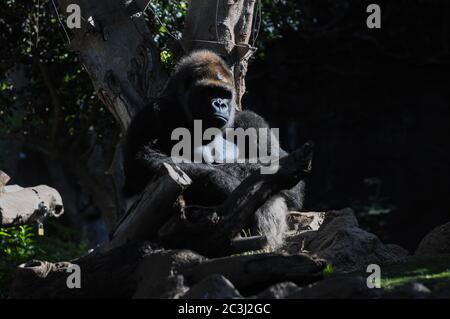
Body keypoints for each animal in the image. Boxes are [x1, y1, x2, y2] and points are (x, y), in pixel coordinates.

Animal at [124, 49, 302, 250]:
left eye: (224, 94)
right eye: (209, 91)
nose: (220, 104)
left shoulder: (251, 120)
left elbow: (284, 173)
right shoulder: (153, 113)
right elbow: (142, 163)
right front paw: (220, 179)